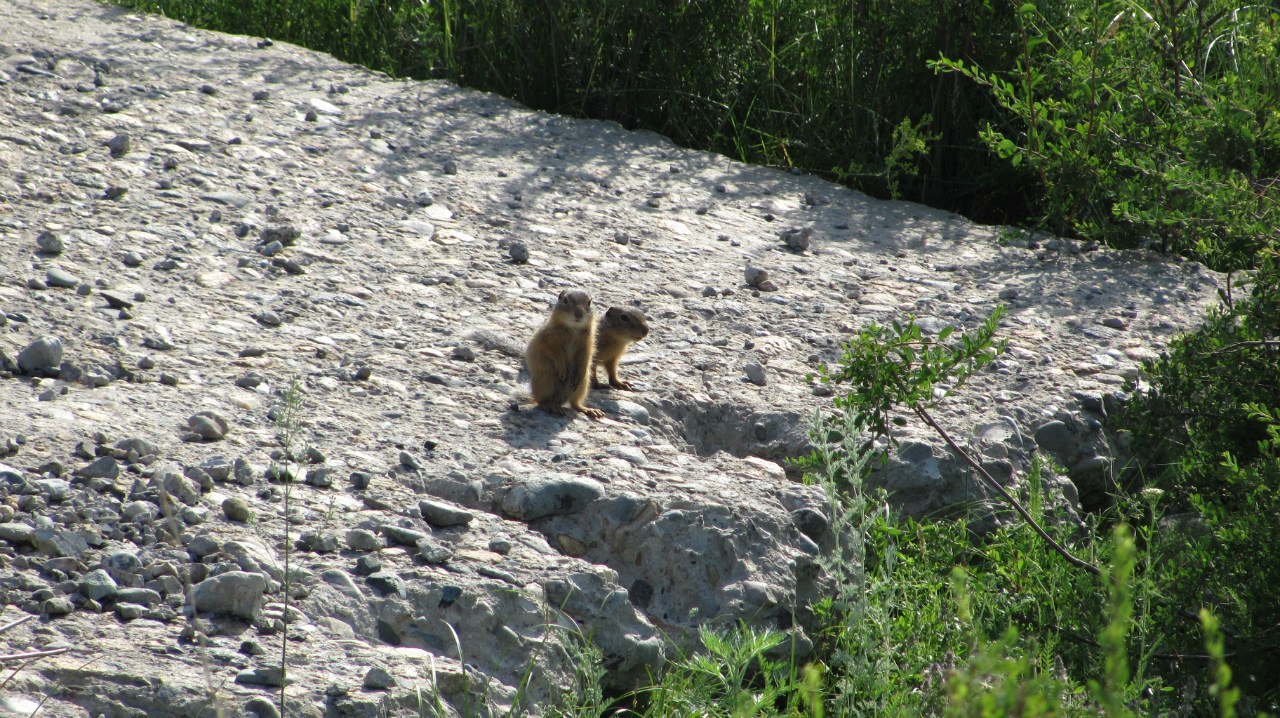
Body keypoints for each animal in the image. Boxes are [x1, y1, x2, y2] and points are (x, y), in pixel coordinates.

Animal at [524, 286, 604, 417]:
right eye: (565, 300)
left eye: (589, 302)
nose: (578, 313)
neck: (573, 328)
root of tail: (560, 401)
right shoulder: (549, 339)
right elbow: (555, 354)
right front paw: (562, 370)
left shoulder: (587, 344)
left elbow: (586, 357)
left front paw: (581, 371)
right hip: (546, 381)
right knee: (541, 401)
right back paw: (551, 406)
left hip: (583, 385)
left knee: (574, 403)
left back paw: (589, 410)